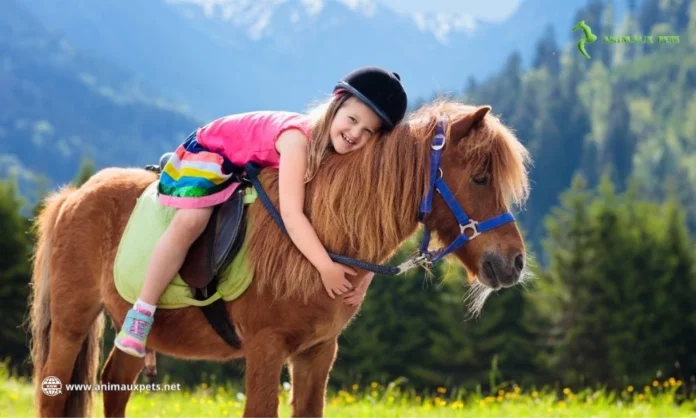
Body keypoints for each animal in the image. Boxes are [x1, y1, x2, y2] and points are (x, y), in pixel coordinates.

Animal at [25, 99, 528, 416]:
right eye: (480, 178)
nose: (515, 262)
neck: (316, 244)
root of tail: (74, 195)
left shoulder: (316, 353)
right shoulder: (265, 349)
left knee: (115, 385)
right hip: (71, 322)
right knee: (52, 394)